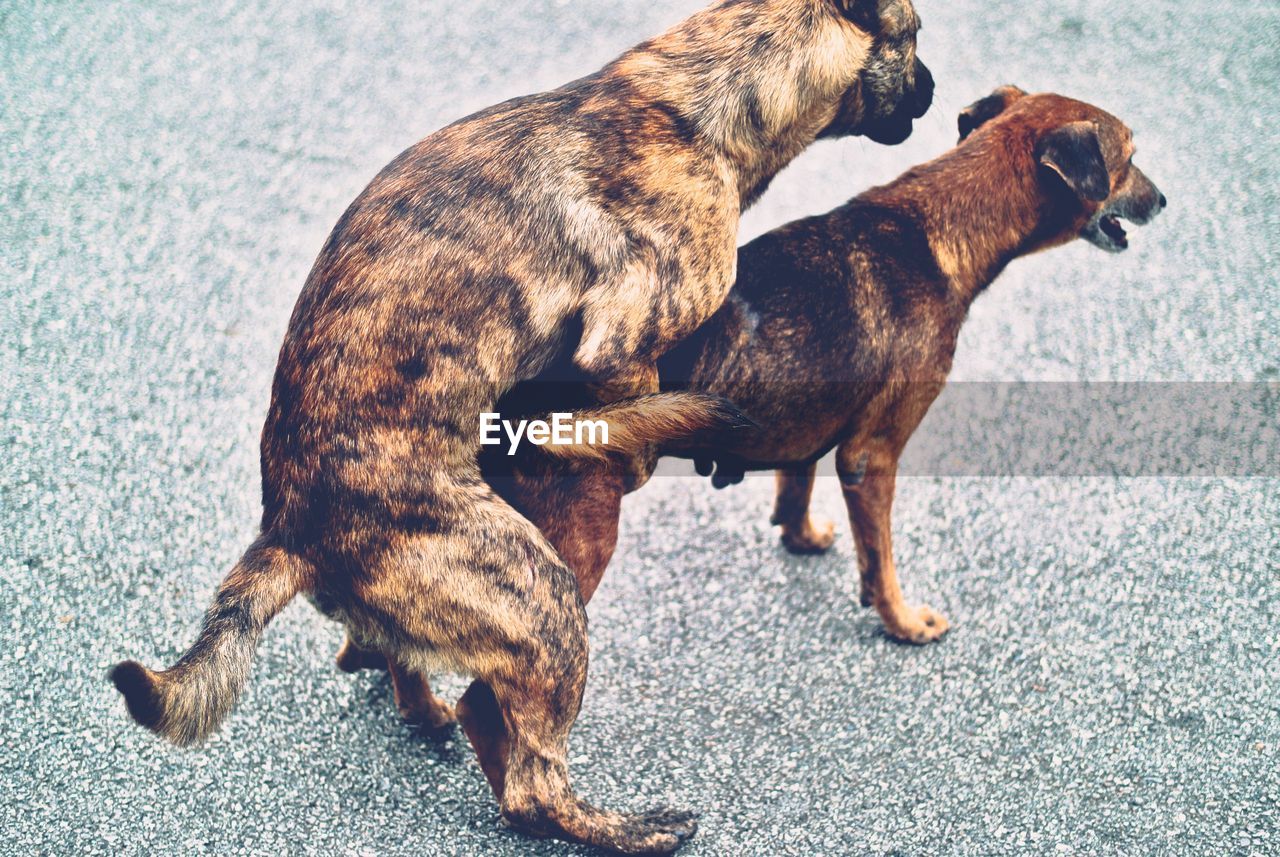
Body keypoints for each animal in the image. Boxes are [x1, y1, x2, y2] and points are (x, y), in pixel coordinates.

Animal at [110, 3, 931, 854]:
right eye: (916, 38)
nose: (933, 90)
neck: (693, 104)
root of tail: (288, 528)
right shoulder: (622, 339)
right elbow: (634, 399)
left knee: (400, 665)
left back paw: (419, 702)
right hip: (545, 607)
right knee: (532, 786)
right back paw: (631, 826)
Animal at [483, 90, 1167, 660]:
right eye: (1129, 158)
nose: (1162, 201)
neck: (938, 227)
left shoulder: (808, 417)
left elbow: (796, 480)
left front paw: (802, 534)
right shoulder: (872, 455)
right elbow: (881, 560)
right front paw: (902, 623)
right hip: (578, 542)